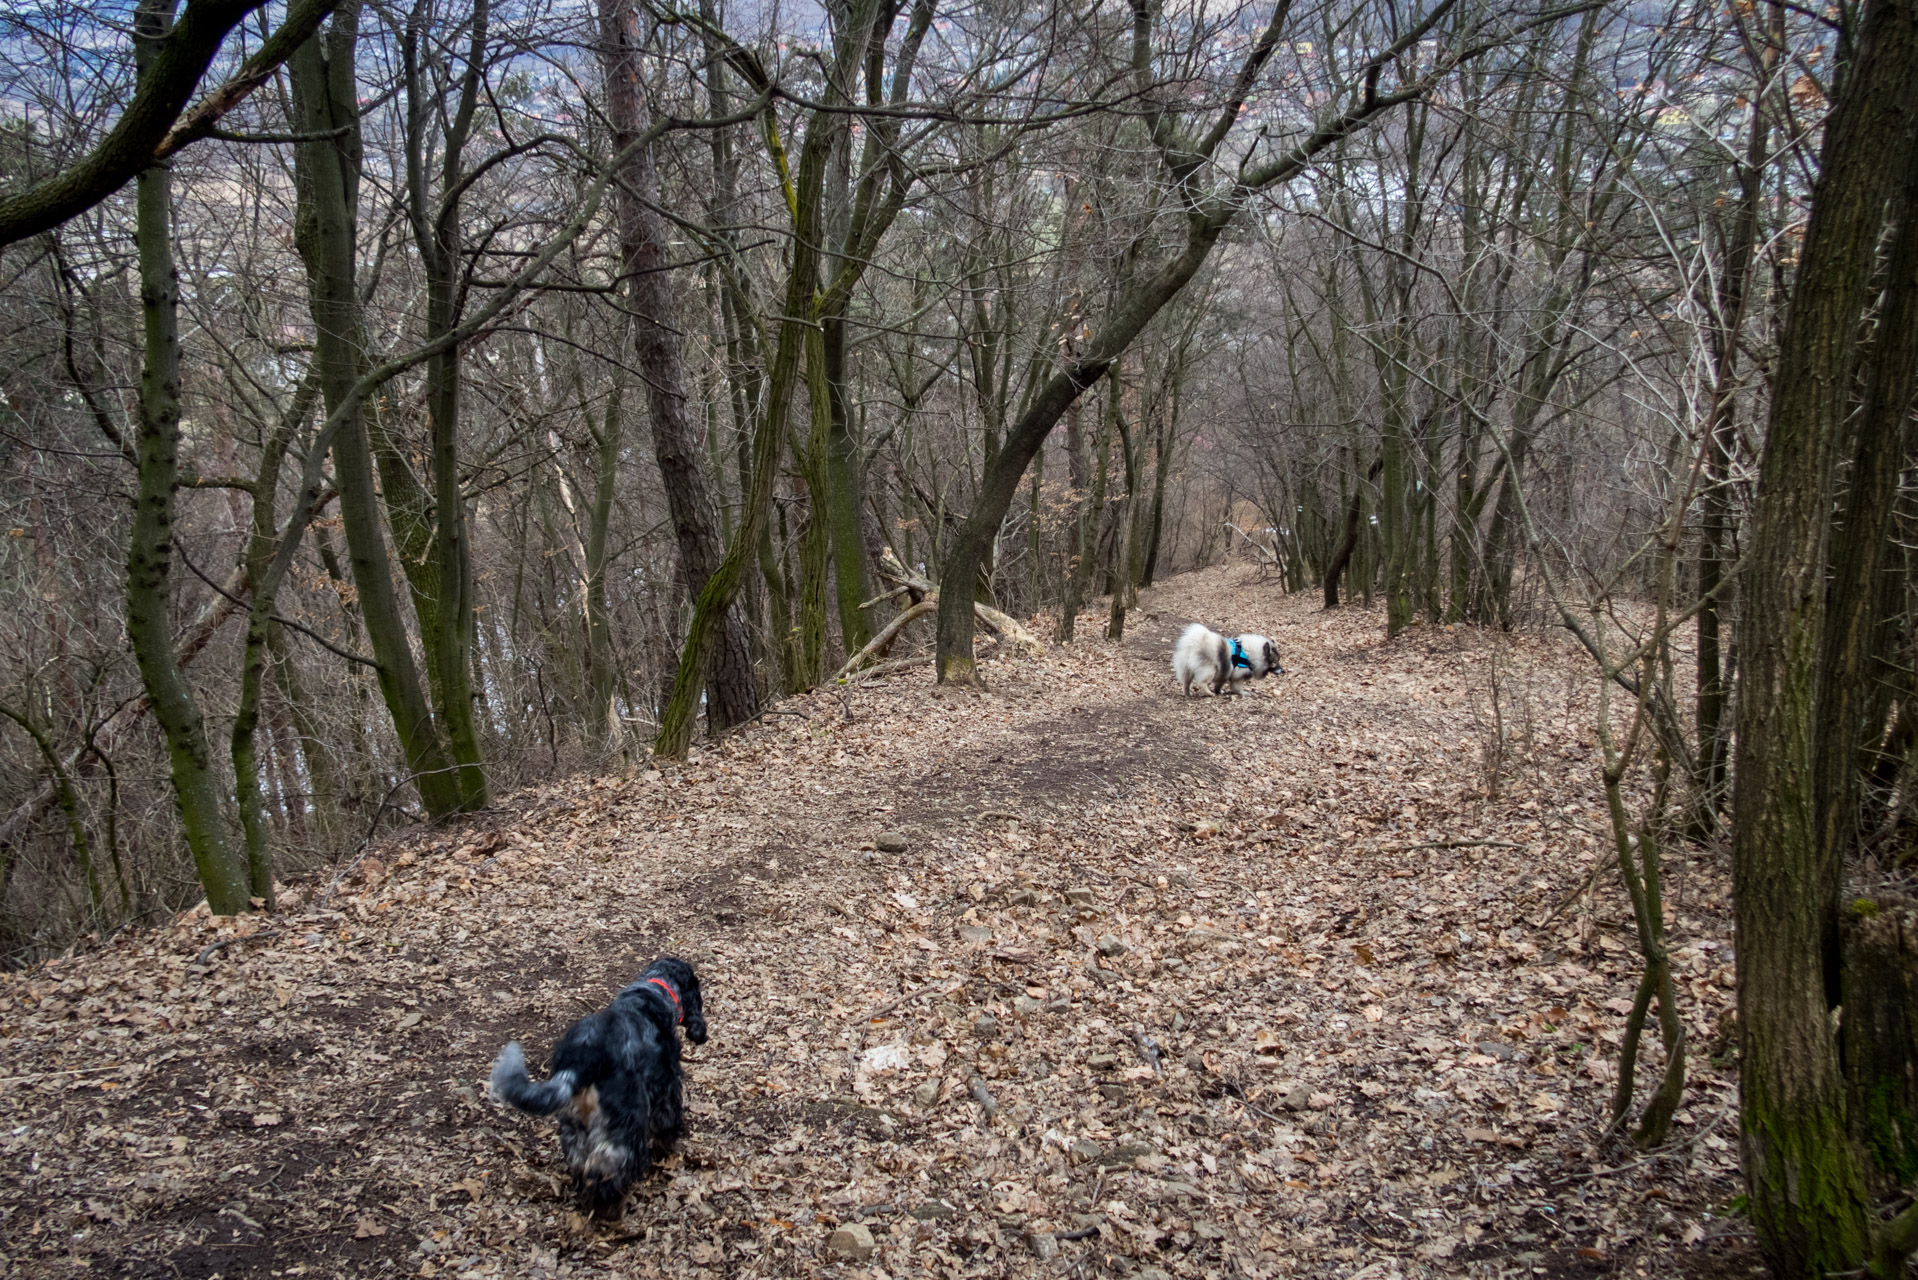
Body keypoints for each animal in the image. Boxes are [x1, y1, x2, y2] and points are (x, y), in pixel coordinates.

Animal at [491, 955, 709, 1220]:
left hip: (574, 1122)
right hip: (624, 1121)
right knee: (606, 1168)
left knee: (580, 1162)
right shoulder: (666, 1085)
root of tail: (583, 1057)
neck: (655, 991)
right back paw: (609, 1206)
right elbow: (667, 1121)